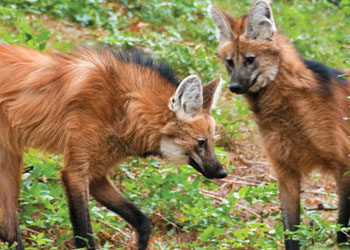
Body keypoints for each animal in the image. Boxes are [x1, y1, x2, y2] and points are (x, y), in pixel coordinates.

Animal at [0, 44, 227, 249]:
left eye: (212, 140)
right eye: (201, 142)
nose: (222, 172)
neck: (124, 106)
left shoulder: (97, 176)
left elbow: (143, 222)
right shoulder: (74, 173)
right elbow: (86, 239)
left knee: (9, 230)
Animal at [209, 0, 350, 249]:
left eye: (250, 59)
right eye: (230, 62)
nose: (234, 87)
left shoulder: (344, 166)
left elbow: (342, 230)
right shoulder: (286, 170)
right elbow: (290, 231)